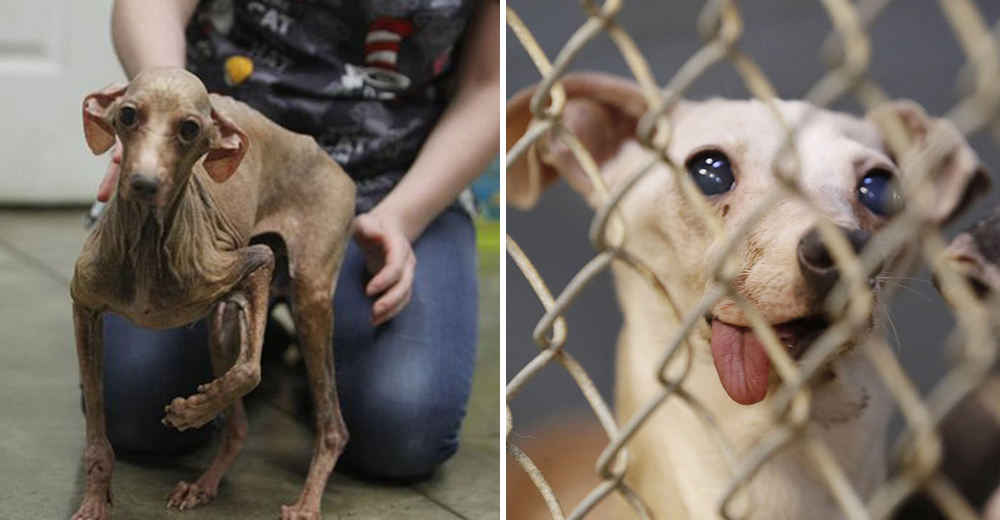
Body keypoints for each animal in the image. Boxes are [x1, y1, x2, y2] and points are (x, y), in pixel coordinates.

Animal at [68, 69, 356, 520]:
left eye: (190, 128)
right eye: (128, 115)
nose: (143, 184)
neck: (147, 246)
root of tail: (329, 159)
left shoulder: (256, 264)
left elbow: (249, 372)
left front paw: (189, 412)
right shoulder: (85, 309)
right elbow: (97, 437)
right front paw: (94, 502)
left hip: (309, 295)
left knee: (333, 427)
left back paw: (307, 502)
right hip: (222, 321)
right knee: (238, 426)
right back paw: (204, 484)